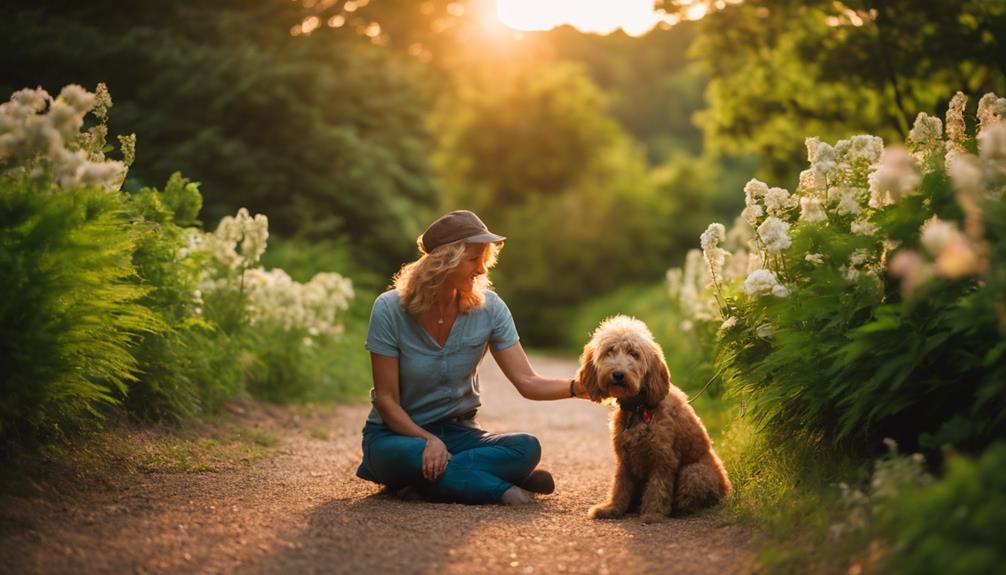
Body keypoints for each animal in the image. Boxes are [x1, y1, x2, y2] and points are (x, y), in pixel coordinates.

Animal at [575, 313, 732, 522]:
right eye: (609, 351)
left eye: (634, 354)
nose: (618, 374)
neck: (638, 408)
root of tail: (726, 491)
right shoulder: (625, 459)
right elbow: (620, 486)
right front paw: (612, 509)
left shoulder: (663, 459)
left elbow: (658, 488)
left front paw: (652, 513)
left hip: (694, 473)